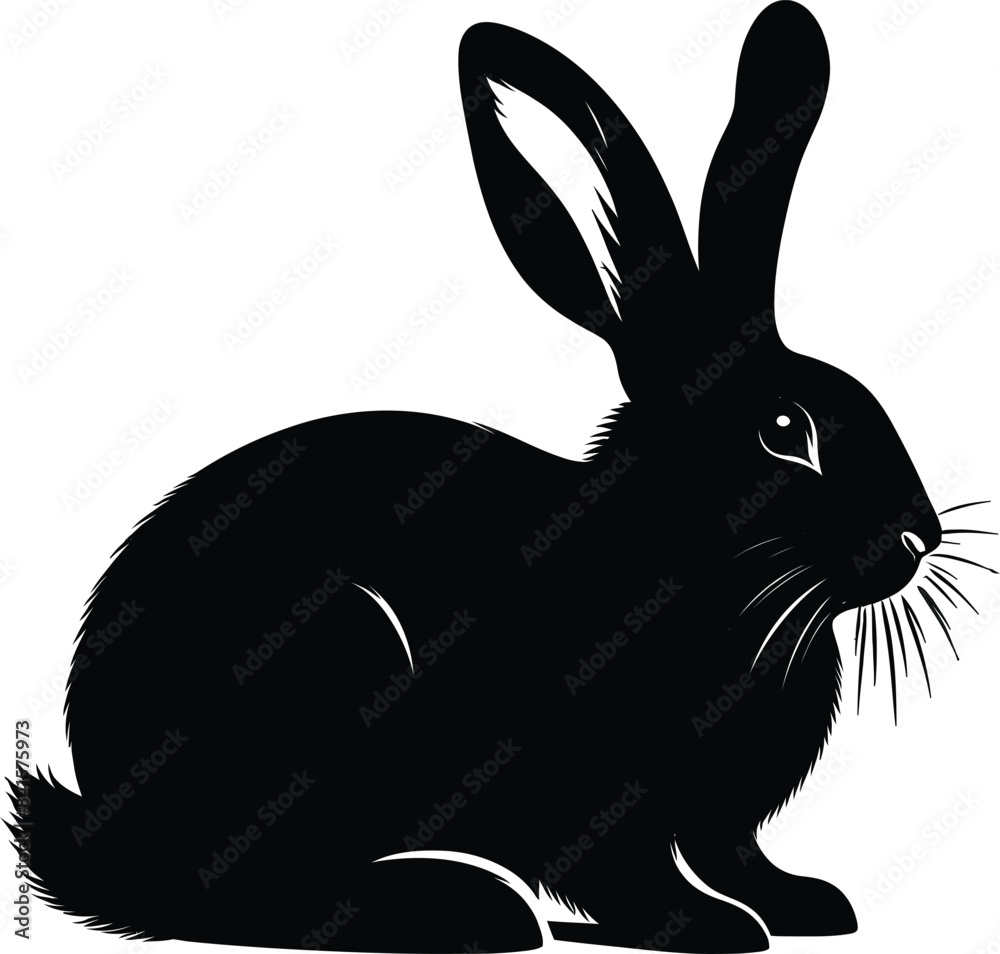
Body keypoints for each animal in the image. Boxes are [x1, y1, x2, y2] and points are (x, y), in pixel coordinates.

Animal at [12, 2, 985, 951]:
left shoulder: (722, 817)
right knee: (270, 891)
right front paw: (709, 928)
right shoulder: (588, 781)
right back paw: (473, 911)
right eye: (785, 430)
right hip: (329, 673)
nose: (920, 535)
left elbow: (735, 850)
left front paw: (805, 904)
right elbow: (626, 869)